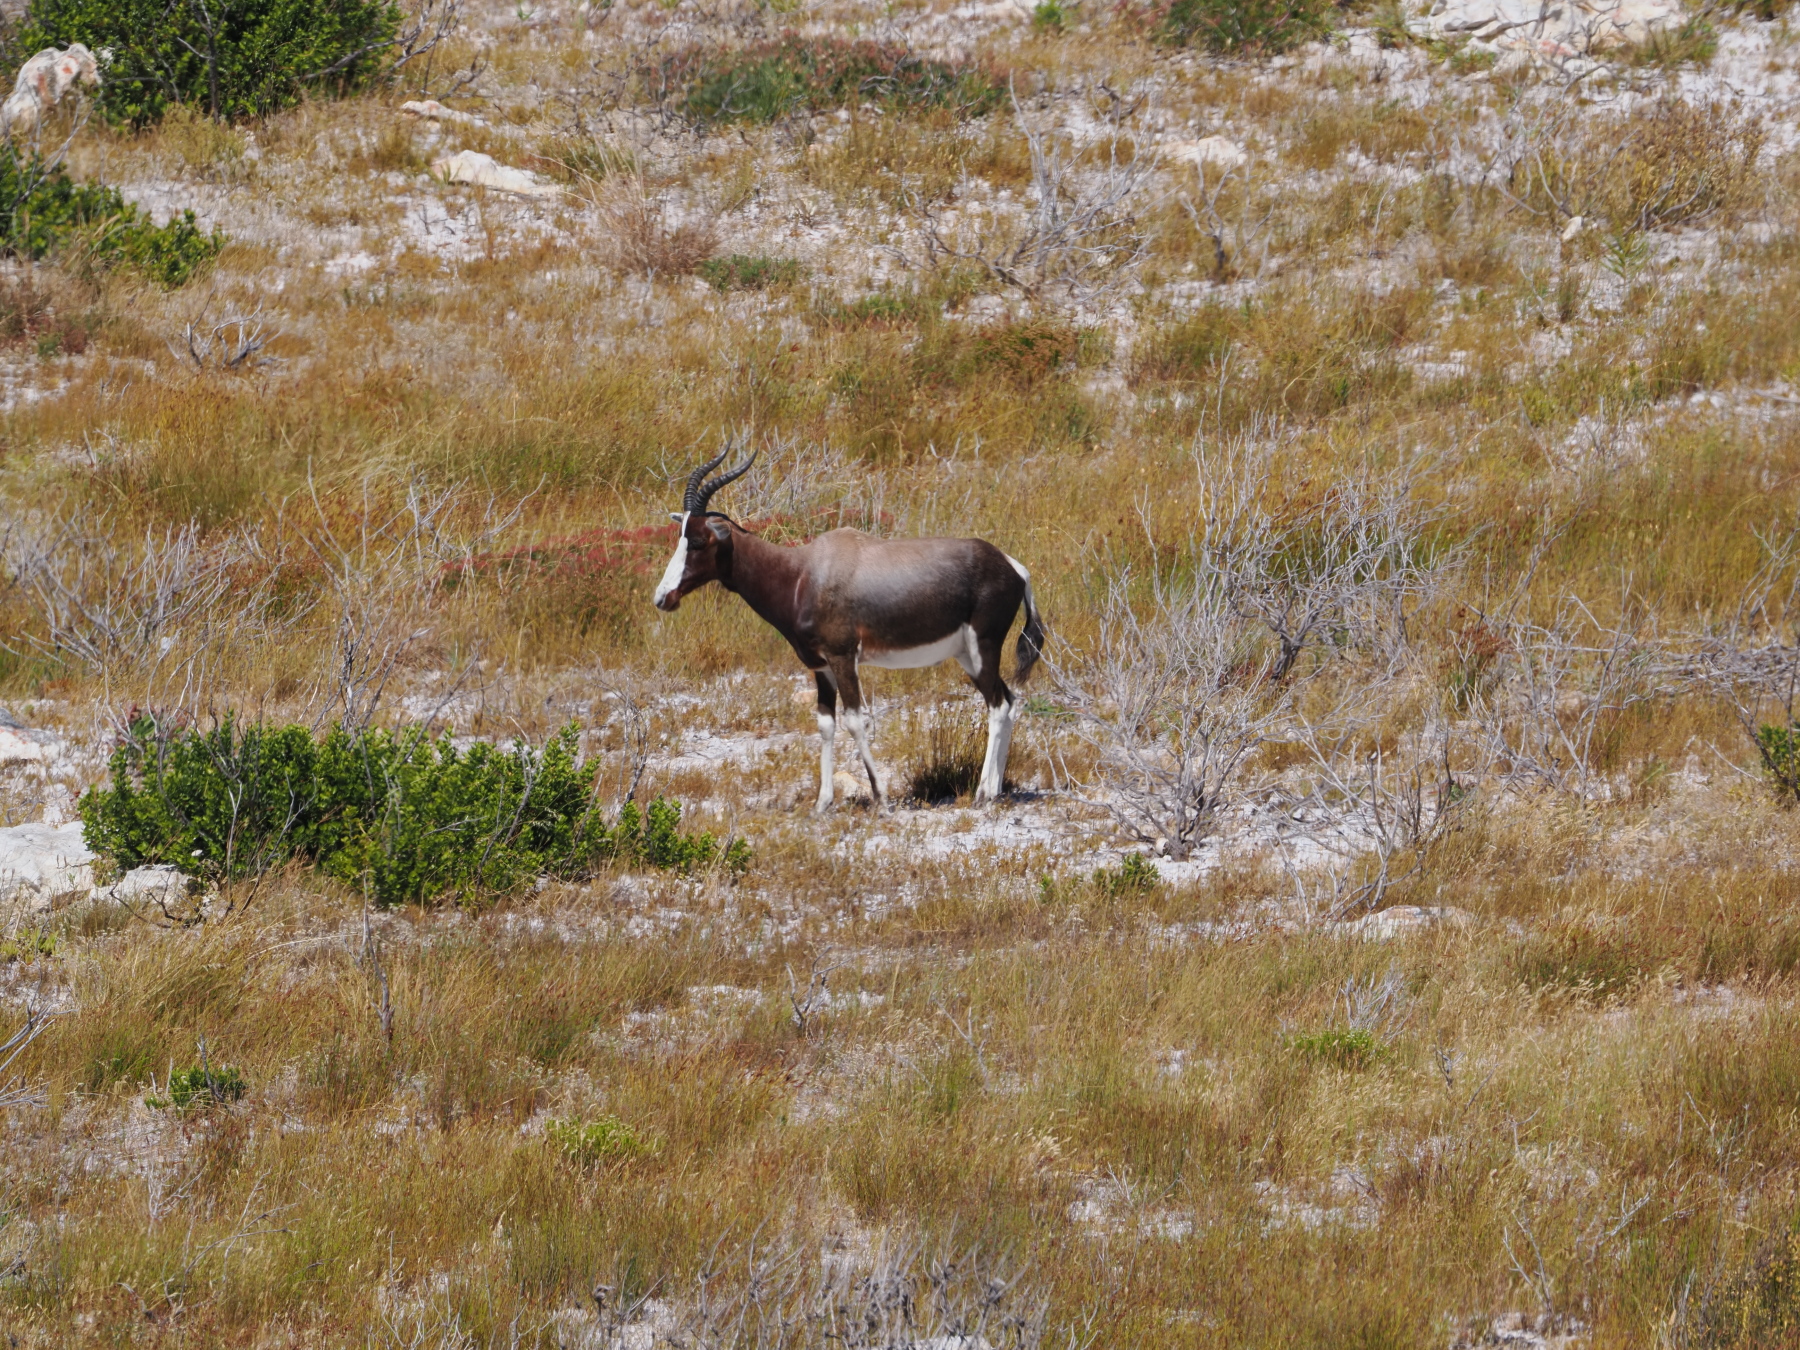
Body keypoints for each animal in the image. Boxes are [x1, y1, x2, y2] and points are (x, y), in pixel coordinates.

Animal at [653, 449, 1046, 811]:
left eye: (699, 540)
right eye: (680, 536)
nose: (662, 598)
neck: (803, 573)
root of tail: (1013, 567)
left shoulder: (843, 658)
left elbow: (856, 722)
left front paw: (881, 797)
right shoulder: (821, 667)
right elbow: (826, 724)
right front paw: (822, 803)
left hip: (983, 649)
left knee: (997, 706)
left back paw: (982, 794)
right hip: (968, 656)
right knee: (1010, 702)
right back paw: (995, 790)